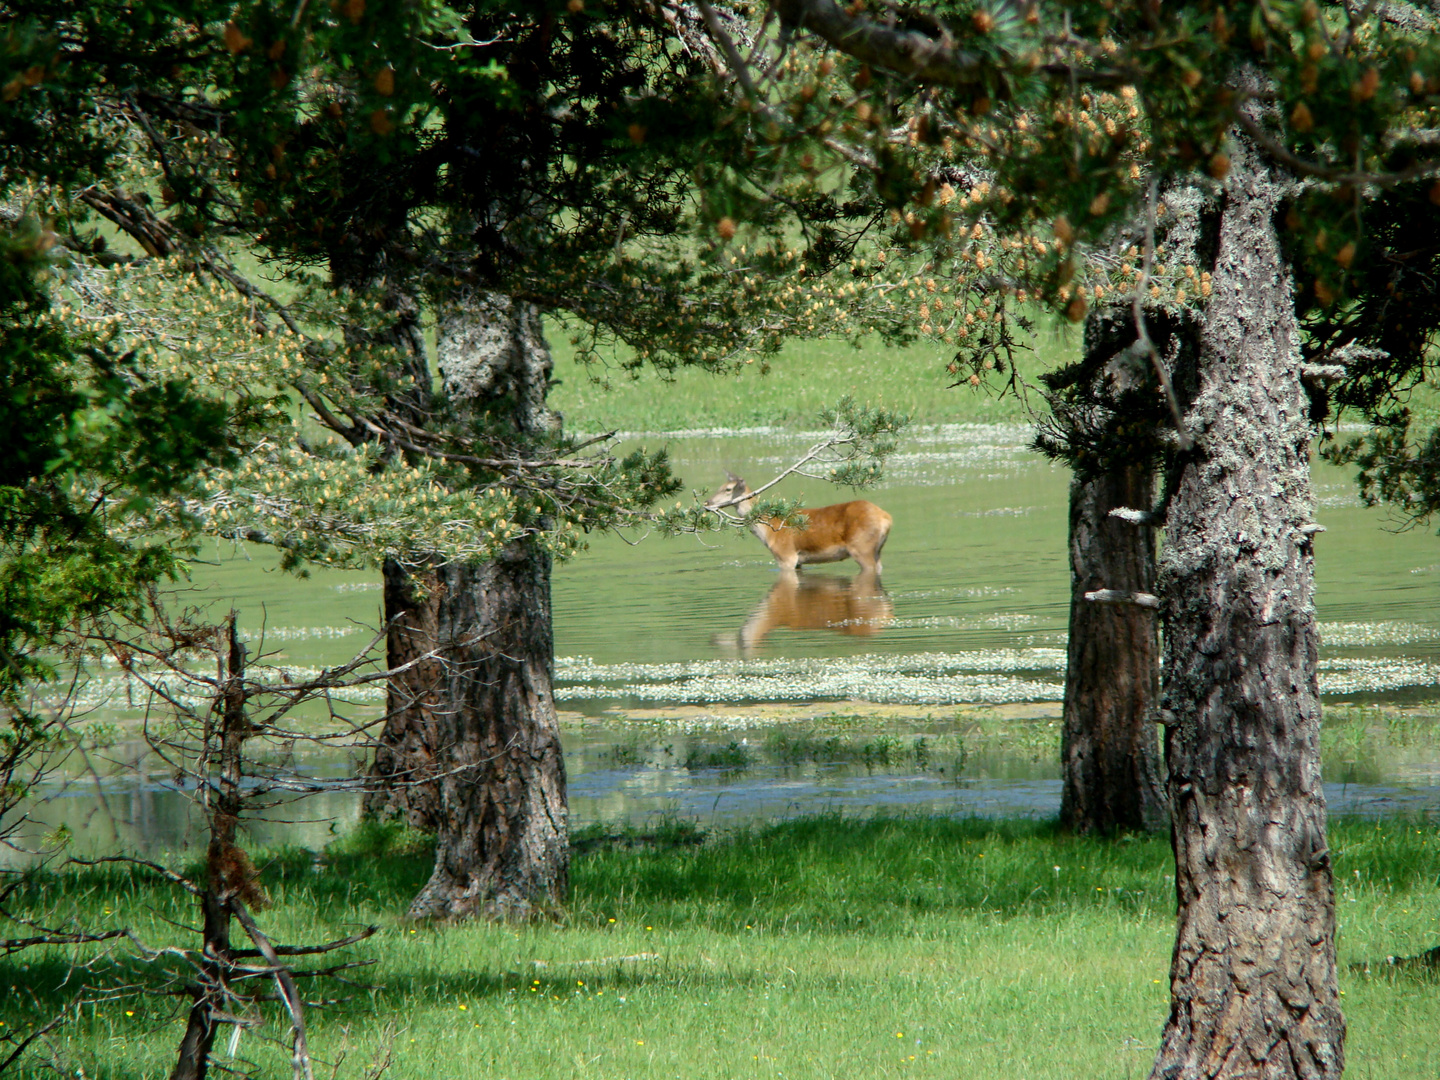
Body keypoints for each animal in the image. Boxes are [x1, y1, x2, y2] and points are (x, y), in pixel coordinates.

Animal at [699, 472, 887, 576]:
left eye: (728, 489)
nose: (707, 503)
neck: (768, 530)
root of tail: (886, 518)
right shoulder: (799, 561)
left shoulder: (786, 555)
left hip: (862, 546)